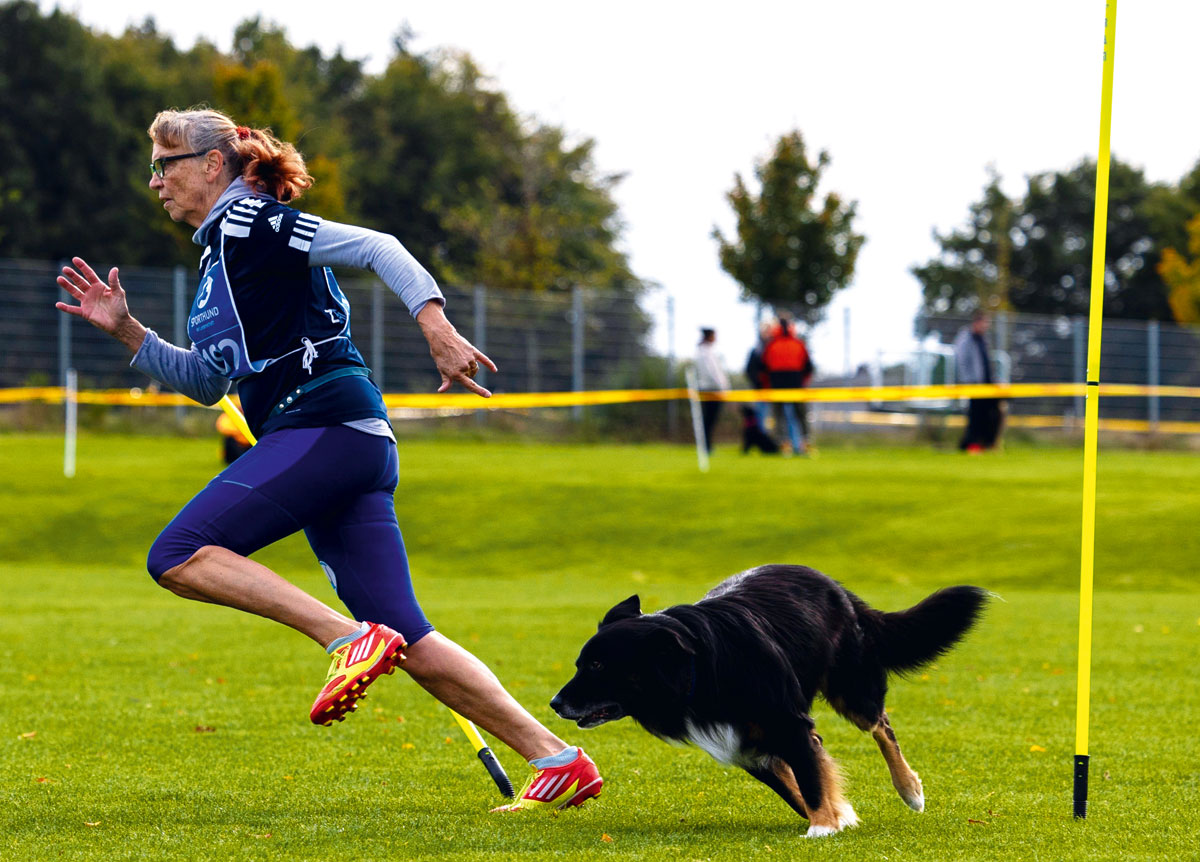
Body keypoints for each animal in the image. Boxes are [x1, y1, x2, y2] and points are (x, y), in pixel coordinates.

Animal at [551, 565, 987, 837]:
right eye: (581, 664)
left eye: (598, 665)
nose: (554, 703)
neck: (701, 669)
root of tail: (835, 585)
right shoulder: (747, 745)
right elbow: (798, 787)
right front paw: (839, 816)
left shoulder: (789, 725)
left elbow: (810, 779)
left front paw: (823, 827)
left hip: (852, 689)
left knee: (882, 725)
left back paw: (910, 789)